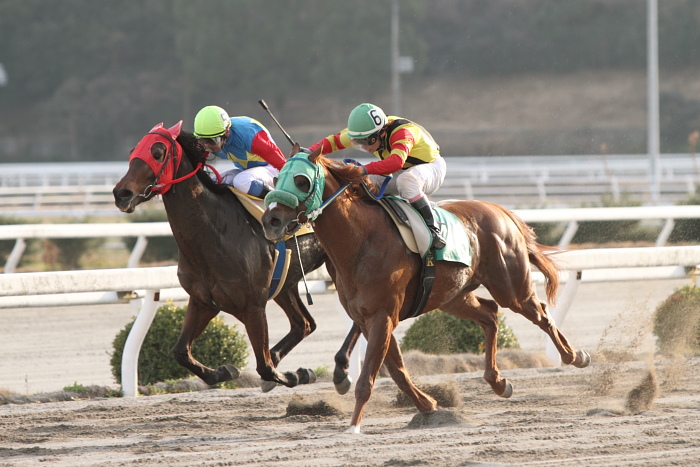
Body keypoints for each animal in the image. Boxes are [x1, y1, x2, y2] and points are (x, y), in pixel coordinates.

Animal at [114, 121, 330, 392]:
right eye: (133, 152)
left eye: (158, 152)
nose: (121, 193)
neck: (215, 234)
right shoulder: (203, 301)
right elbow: (180, 352)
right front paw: (224, 371)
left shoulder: (253, 306)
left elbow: (265, 367)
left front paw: (296, 375)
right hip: (284, 285)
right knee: (304, 324)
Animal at [262, 147, 592, 436]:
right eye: (276, 179)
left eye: (302, 181)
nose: (270, 221)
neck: (361, 241)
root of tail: (499, 210)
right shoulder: (368, 318)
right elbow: (396, 369)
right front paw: (428, 405)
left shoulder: (383, 316)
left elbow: (368, 377)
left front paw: (353, 426)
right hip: (452, 296)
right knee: (489, 314)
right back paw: (498, 382)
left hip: (511, 288)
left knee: (541, 314)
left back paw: (575, 356)